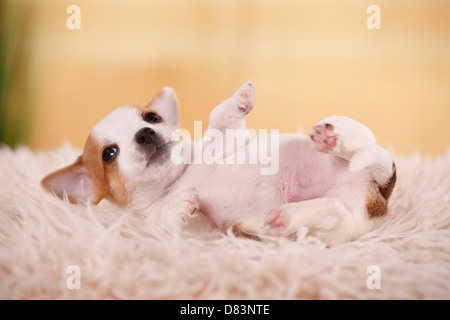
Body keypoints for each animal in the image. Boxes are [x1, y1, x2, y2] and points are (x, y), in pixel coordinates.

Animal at [41, 80, 394, 245]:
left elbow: (219, 117)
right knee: (332, 210)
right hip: (337, 224)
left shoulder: (226, 140)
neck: (176, 179)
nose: (145, 133)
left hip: (362, 155)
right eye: (109, 154)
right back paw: (283, 218)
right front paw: (182, 205)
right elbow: (173, 219)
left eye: (151, 118)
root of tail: (376, 195)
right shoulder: (198, 232)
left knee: (365, 149)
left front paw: (239, 98)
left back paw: (332, 139)